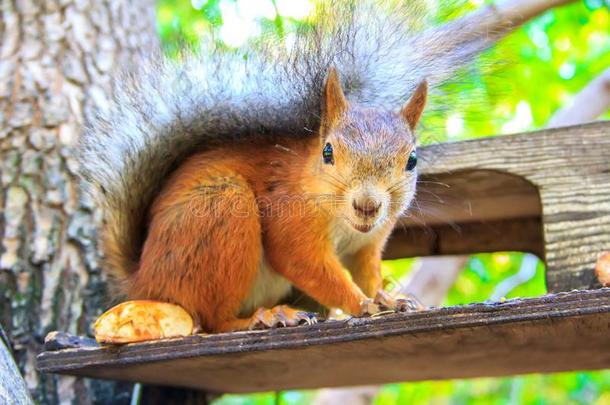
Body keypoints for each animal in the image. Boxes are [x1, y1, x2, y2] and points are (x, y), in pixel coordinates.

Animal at [77, 0, 484, 334]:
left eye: (412, 160)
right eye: (327, 152)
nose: (367, 205)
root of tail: (144, 280)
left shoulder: (367, 244)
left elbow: (369, 273)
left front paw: (388, 298)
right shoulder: (290, 222)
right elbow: (307, 265)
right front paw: (362, 304)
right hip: (222, 213)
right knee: (211, 320)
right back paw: (264, 317)